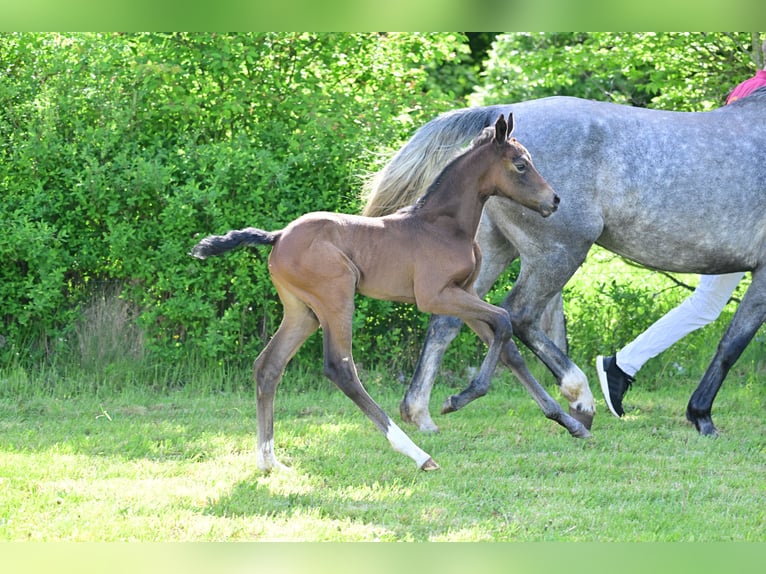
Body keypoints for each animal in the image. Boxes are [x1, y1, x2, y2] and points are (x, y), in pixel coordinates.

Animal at [364, 86, 766, 436]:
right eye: (522, 165)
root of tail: (499, 112)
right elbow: (733, 343)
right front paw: (702, 417)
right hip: (559, 253)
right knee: (517, 315)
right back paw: (578, 398)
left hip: (493, 249)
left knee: (451, 320)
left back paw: (421, 413)